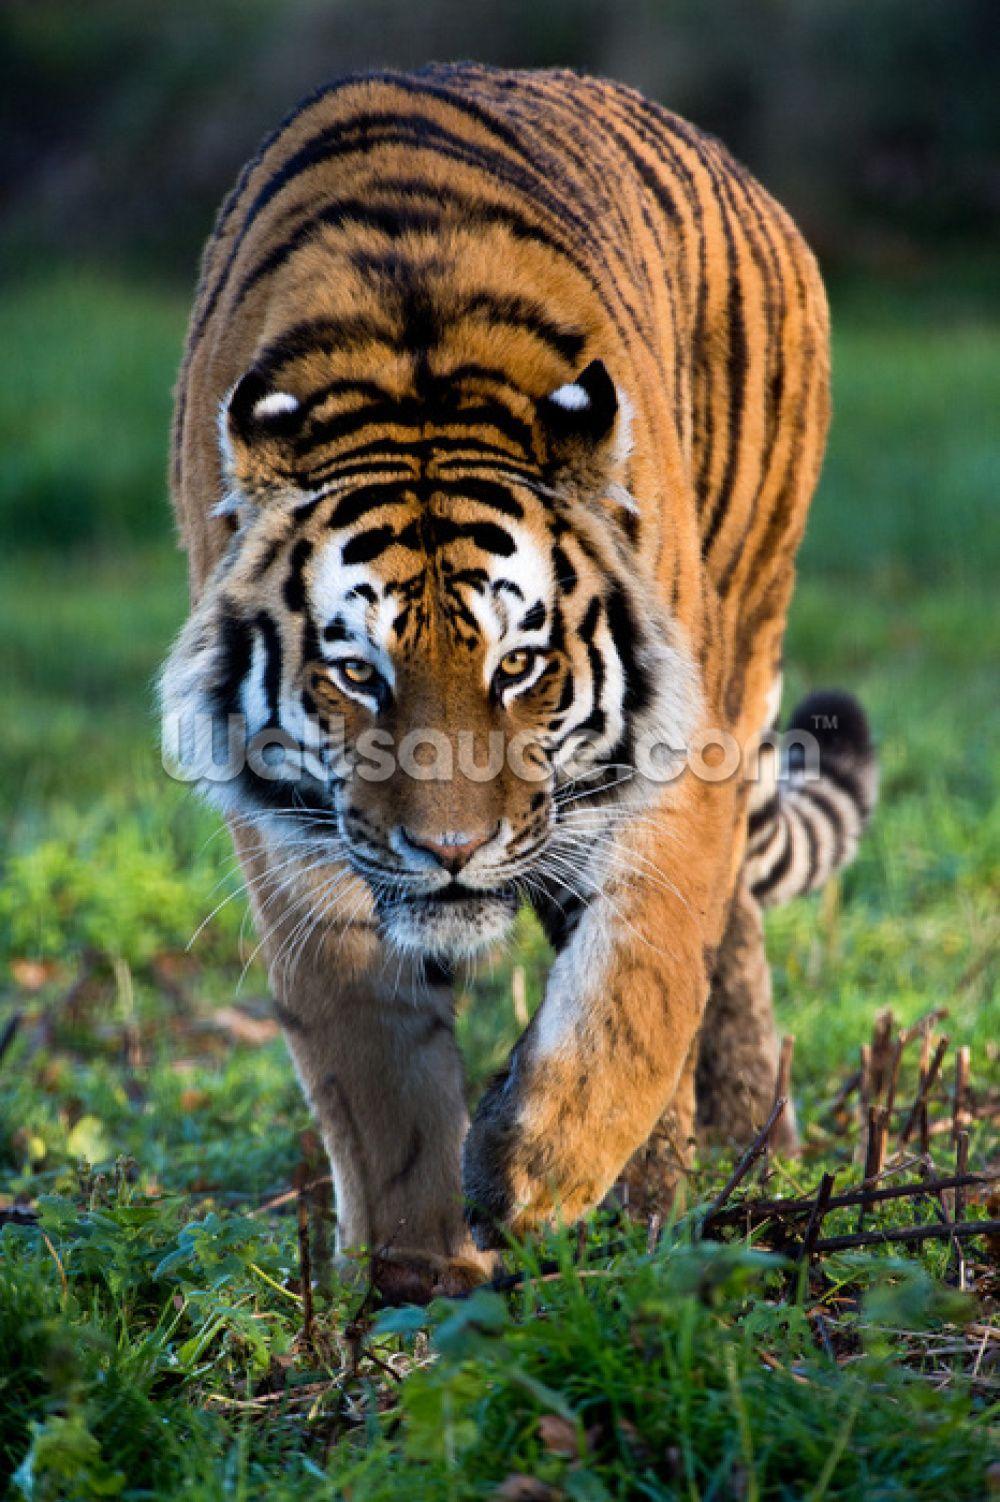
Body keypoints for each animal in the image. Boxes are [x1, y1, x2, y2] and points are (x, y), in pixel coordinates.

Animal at [161, 63, 877, 1299]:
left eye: (520, 664)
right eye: (356, 672)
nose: (450, 853)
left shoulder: (671, 772)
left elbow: (638, 988)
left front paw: (531, 1174)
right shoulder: (299, 835)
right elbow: (371, 1057)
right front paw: (412, 1273)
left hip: (742, 641)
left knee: (714, 937)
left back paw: (701, 1174)